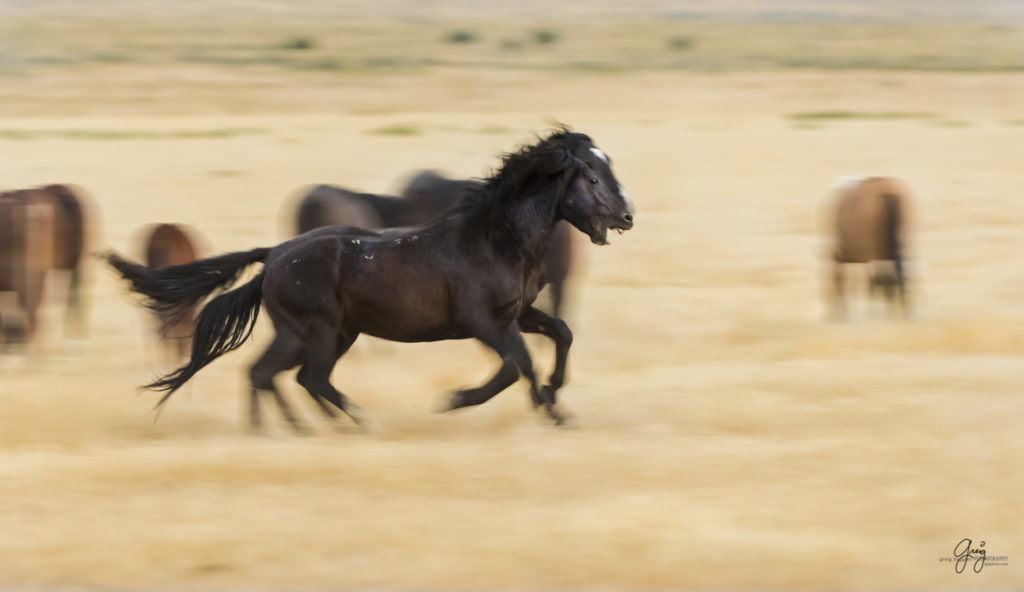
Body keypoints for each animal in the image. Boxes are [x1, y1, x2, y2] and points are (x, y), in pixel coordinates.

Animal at [103, 130, 630, 428]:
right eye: (593, 177)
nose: (626, 216)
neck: (498, 239)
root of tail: (275, 256)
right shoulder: (483, 322)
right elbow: (516, 364)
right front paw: (458, 400)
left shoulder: (518, 314)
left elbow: (559, 335)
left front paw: (554, 401)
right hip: (316, 330)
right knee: (303, 377)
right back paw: (348, 422)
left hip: (325, 332)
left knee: (271, 374)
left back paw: (291, 429)